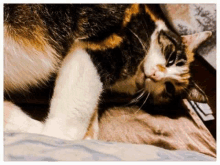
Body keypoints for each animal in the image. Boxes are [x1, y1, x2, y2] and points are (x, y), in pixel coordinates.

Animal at [3, 4, 211, 141]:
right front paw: (49, 136)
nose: (155, 75)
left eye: (169, 88)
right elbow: (72, 121)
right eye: (170, 57)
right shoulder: (96, 49)